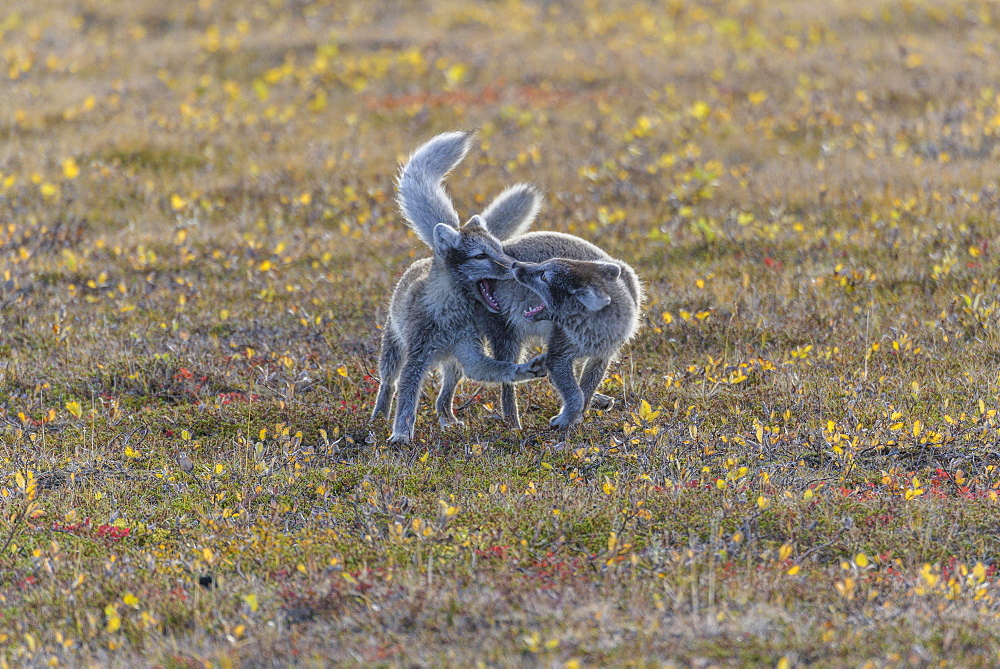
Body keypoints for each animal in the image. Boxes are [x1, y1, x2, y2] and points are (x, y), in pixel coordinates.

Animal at [512, 256, 644, 428]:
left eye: (544, 277)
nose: (514, 264)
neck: (590, 332)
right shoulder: (558, 355)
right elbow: (576, 394)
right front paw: (567, 418)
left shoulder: (601, 356)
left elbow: (585, 390)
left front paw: (575, 417)